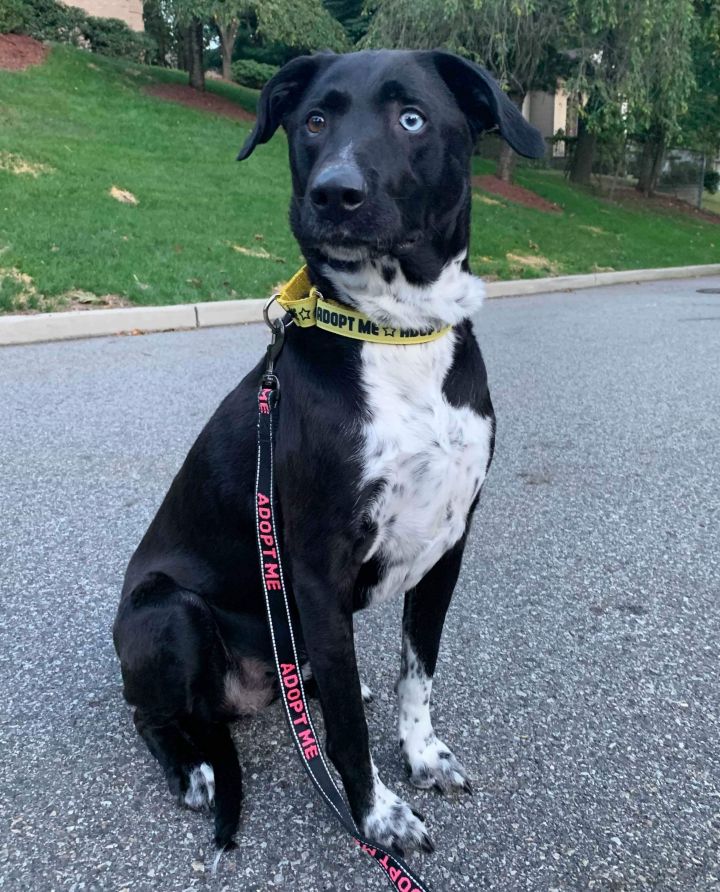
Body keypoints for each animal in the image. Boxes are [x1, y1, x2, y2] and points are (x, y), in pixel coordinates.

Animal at [112, 50, 544, 856]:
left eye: (412, 118)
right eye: (314, 120)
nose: (334, 193)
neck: (396, 334)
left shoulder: (448, 547)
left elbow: (416, 675)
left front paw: (422, 756)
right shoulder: (314, 568)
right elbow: (345, 730)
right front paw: (376, 814)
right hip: (171, 612)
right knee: (155, 716)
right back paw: (194, 769)